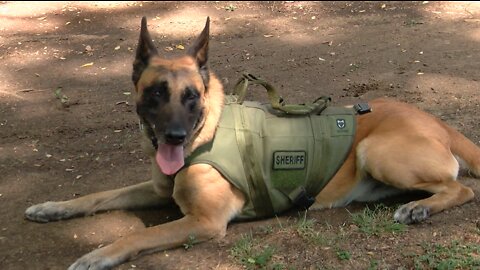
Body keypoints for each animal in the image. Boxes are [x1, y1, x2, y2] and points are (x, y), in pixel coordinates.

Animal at [25, 17, 480, 270]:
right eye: (155, 93)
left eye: (191, 96)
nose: (174, 137)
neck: (205, 134)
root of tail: (434, 119)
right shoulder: (156, 188)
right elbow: (98, 196)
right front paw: (53, 208)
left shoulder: (204, 222)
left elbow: (135, 237)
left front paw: (97, 254)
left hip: (377, 152)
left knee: (463, 188)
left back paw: (419, 208)